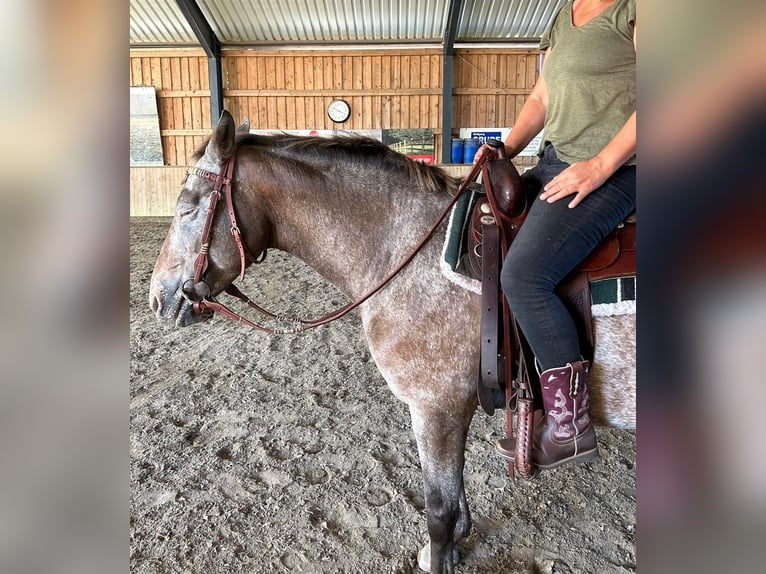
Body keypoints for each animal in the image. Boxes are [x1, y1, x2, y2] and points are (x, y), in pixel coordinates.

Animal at [148, 110, 636, 572]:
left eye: (187, 208)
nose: (158, 297)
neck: (406, 251)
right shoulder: (449, 410)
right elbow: (455, 493)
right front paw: (454, 547)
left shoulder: (436, 407)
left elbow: (438, 509)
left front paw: (442, 555)